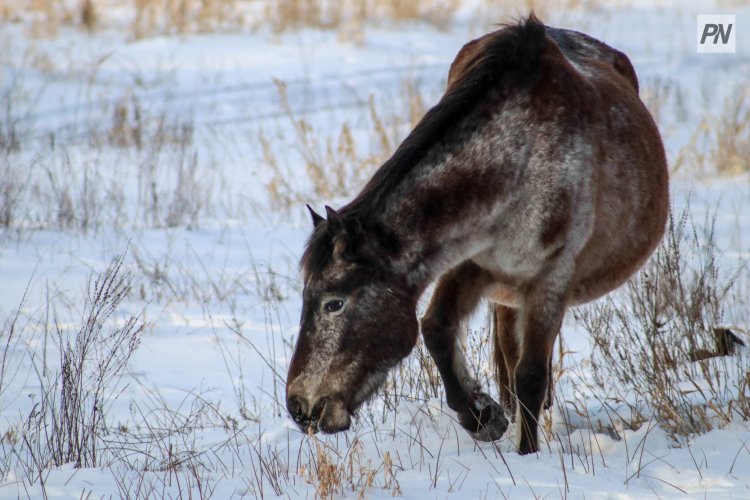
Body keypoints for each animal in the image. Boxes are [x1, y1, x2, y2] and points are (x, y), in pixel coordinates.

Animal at [284, 14, 668, 454]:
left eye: (334, 303)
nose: (299, 407)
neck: (519, 163)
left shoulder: (551, 279)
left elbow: (530, 375)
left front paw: (526, 454)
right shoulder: (468, 262)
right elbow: (436, 329)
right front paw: (483, 417)